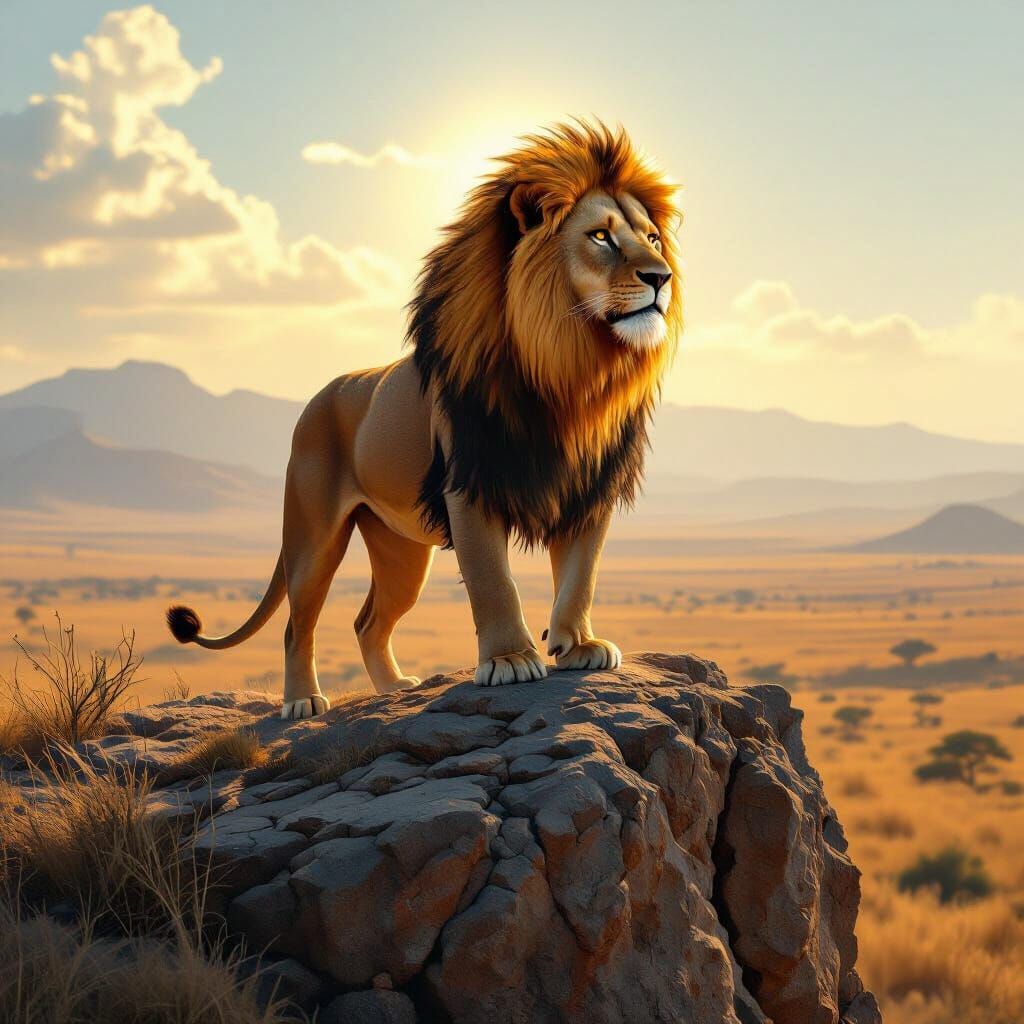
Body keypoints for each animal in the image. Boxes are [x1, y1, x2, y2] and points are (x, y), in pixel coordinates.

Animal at [166, 122, 682, 720]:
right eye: (601, 237)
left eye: (653, 239)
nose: (662, 276)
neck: (571, 373)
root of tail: (318, 395)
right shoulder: (469, 486)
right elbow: (493, 580)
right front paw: (509, 660)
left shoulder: (589, 487)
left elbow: (581, 576)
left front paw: (578, 646)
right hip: (314, 537)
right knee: (299, 624)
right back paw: (302, 702)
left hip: (402, 550)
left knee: (368, 621)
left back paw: (394, 690)